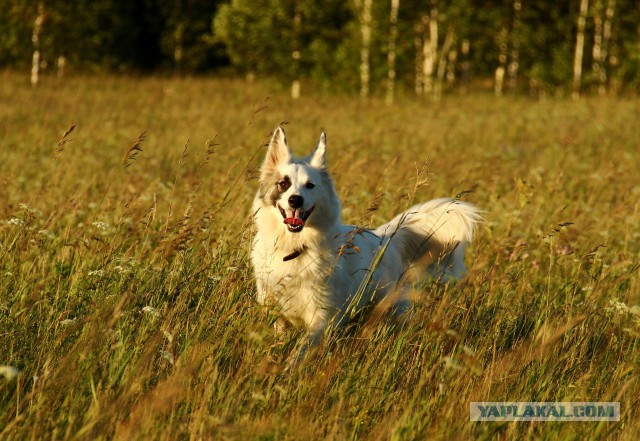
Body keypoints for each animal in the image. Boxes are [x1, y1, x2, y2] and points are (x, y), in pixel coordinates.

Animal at [250, 125, 480, 362]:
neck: (295, 248)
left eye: (310, 186)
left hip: (390, 308)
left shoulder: (322, 316)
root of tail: (385, 237)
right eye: (283, 184)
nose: (295, 200)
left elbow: (301, 350)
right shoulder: (276, 311)